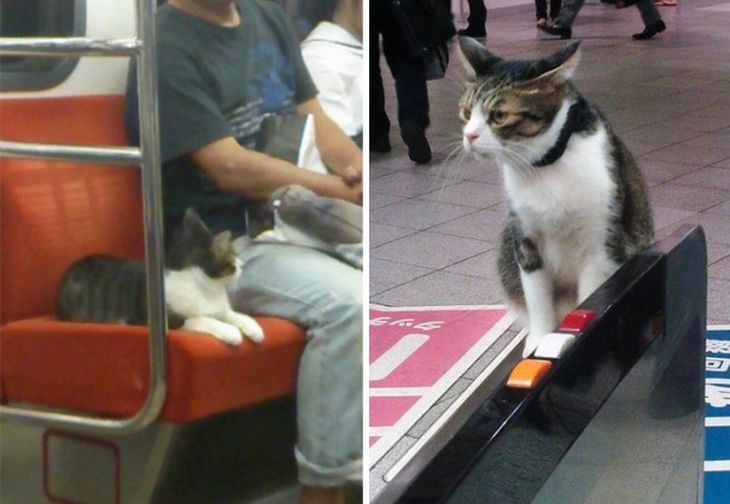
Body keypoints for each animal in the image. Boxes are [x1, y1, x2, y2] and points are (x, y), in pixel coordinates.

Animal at [57, 207, 262, 344]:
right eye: (233, 257)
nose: (242, 265)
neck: (206, 288)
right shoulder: (170, 320)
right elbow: (201, 319)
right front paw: (231, 332)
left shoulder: (219, 308)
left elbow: (234, 314)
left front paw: (254, 328)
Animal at [458, 38, 652, 354]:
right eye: (465, 113)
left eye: (499, 115)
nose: (469, 136)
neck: (545, 167)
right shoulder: (525, 240)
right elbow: (537, 300)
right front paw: (539, 340)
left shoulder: (601, 245)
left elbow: (590, 297)